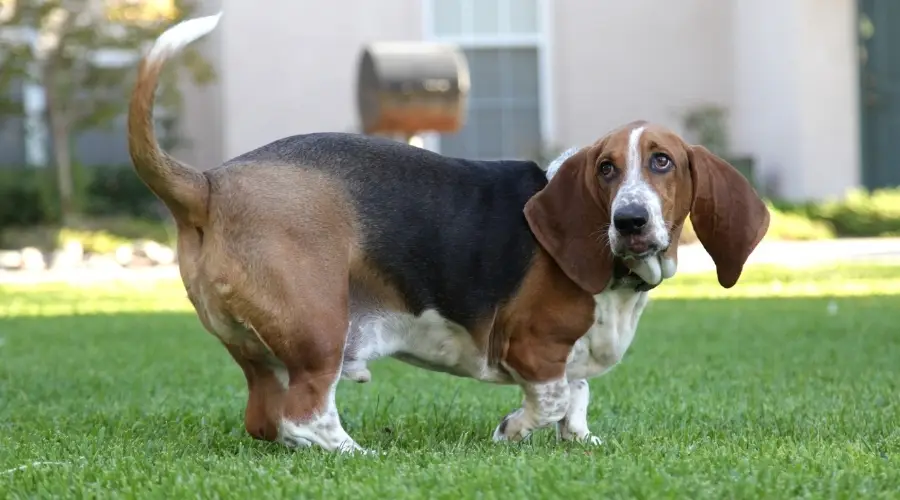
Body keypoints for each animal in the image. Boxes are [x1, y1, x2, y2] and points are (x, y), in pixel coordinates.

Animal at [126, 14, 768, 454]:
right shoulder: (530, 346)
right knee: (304, 415)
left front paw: (579, 440)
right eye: (607, 169)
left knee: (266, 420)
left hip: (262, 354)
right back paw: (360, 454)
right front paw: (513, 430)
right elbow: (556, 394)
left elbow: (578, 394)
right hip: (320, 329)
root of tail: (211, 182)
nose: (629, 220)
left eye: (663, 162)